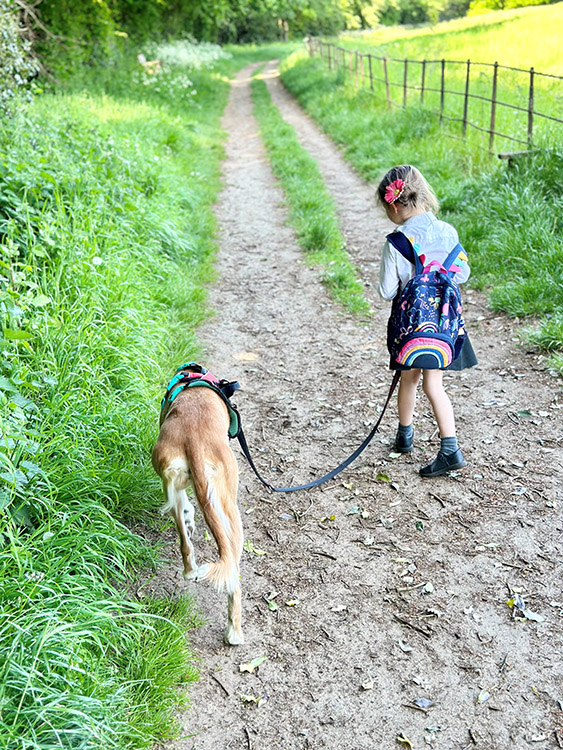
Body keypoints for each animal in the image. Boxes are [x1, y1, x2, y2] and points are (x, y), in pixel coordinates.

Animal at [152, 364, 245, 648]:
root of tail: (193, 437)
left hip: (170, 474)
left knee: (184, 539)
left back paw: (190, 569)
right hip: (231, 511)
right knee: (233, 572)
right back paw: (234, 632)